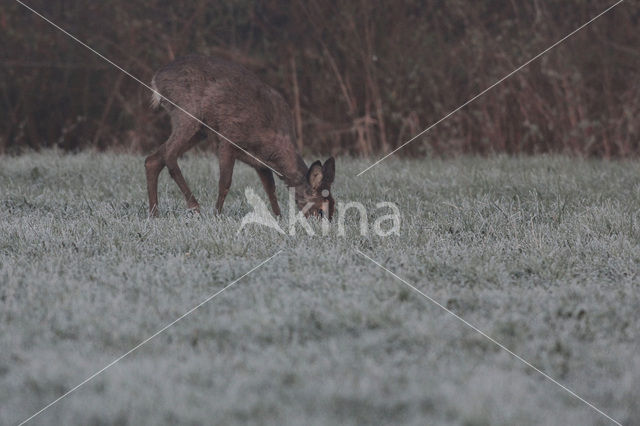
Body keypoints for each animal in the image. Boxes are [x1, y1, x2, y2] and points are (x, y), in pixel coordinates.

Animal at [145, 54, 336, 220]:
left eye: (333, 208)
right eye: (320, 211)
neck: (274, 146)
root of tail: (156, 79)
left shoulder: (261, 163)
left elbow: (271, 190)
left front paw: (278, 217)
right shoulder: (229, 140)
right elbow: (225, 183)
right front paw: (217, 215)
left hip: (200, 130)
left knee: (153, 159)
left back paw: (154, 214)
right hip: (188, 113)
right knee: (169, 154)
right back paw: (194, 206)